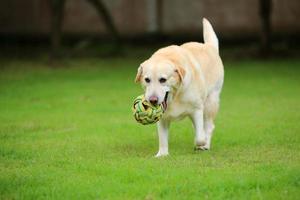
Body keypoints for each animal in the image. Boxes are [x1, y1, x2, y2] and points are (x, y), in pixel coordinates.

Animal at [135, 18, 224, 156]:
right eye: (147, 80)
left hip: (211, 102)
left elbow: (200, 137)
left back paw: (205, 145)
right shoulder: (162, 117)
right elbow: (162, 138)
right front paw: (162, 155)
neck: (175, 97)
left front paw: (202, 144)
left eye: (163, 80)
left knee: (208, 126)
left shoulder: (197, 110)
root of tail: (210, 46)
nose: (153, 100)